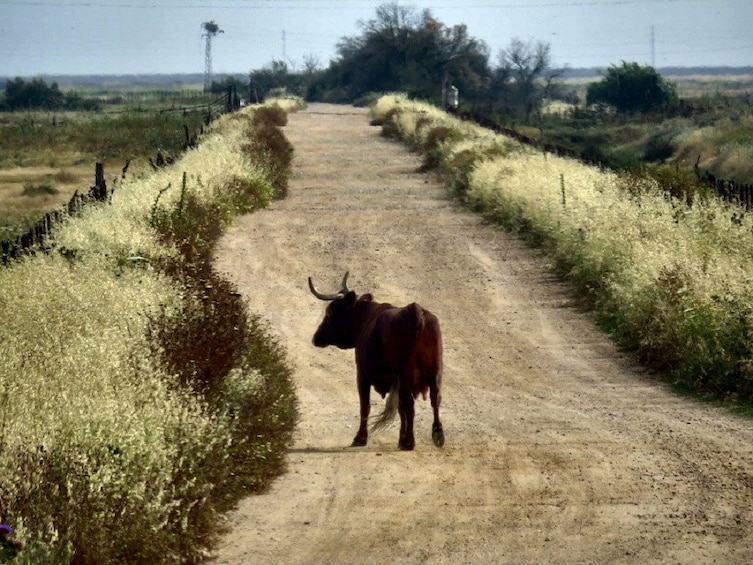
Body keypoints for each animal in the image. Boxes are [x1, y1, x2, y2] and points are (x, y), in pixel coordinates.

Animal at [308, 270, 444, 452]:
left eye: (330, 312)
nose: (316, 337)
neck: (366, 318)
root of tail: (415, 311)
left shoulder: (362, 374)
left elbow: (365, 406)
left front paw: (360, 438)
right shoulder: (396, 382)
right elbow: (400, 408)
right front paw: (400, 438)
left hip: (406, 373)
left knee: (409, 404)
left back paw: (409, 441)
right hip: (434, 371)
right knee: (434, 398)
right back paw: (437, 434)